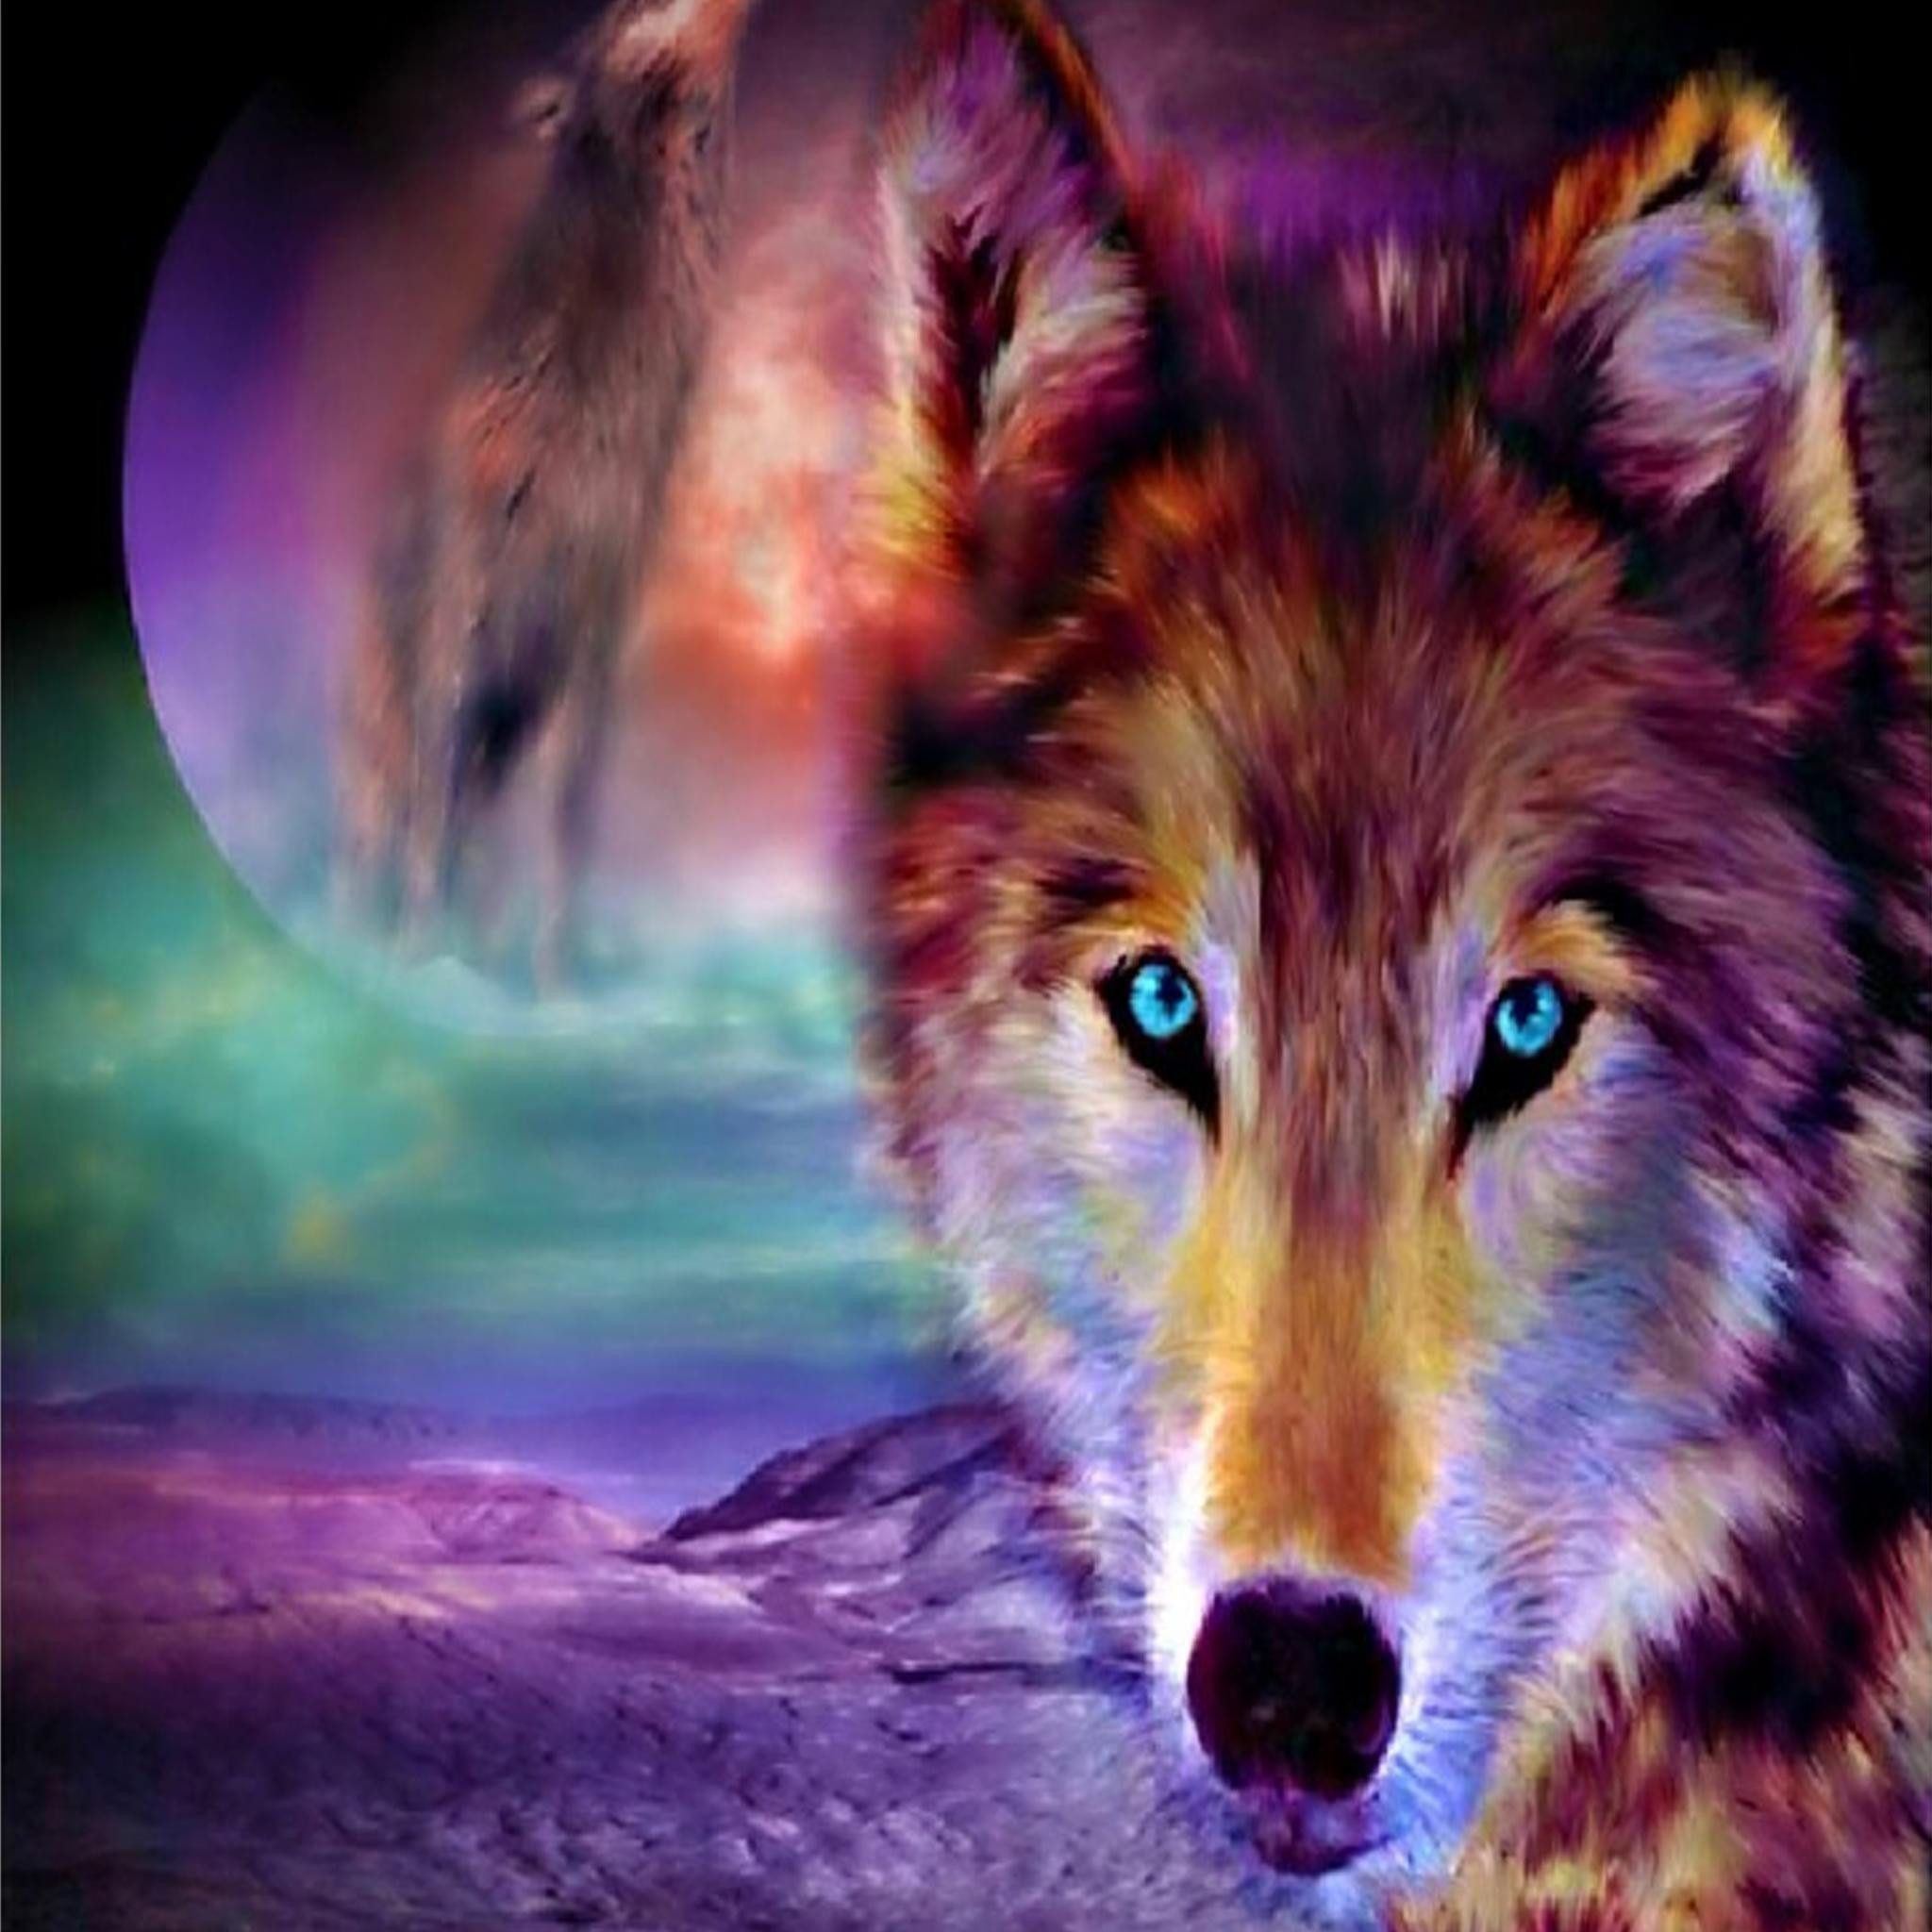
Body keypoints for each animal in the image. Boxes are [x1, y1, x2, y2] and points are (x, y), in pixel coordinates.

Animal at [334, 0, 755, 989]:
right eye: (630, 11)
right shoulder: (467, 598)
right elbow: (434, 799)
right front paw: (417, 961)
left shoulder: (596, 626)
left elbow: (567, 817)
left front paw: (550, 982)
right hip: (384, 717)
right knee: (380, 821)